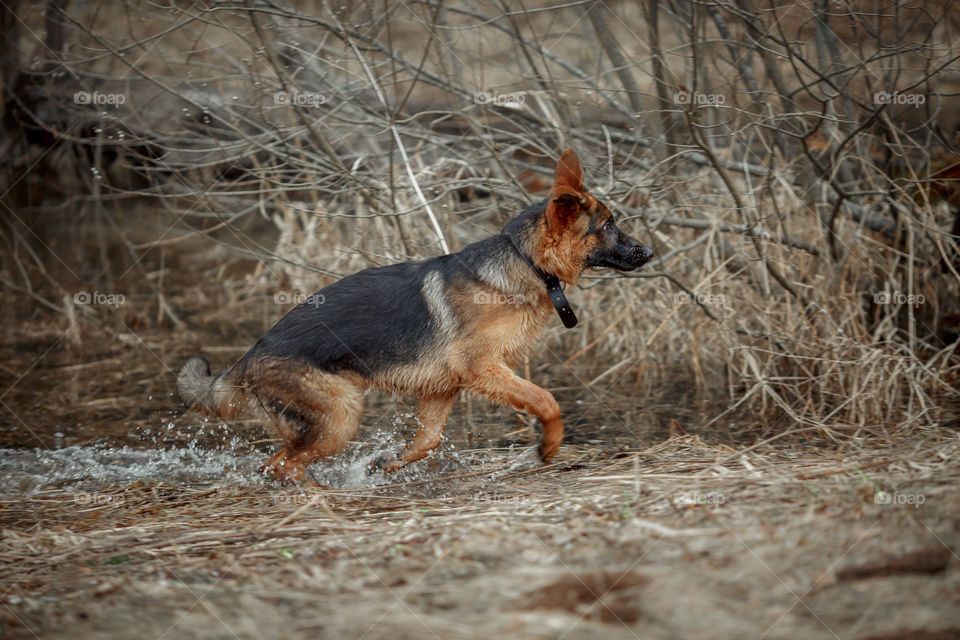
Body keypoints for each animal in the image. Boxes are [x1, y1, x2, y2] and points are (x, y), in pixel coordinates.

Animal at [175, 150, 652, 484]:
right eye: (608, 226)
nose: (649, 252)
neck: (526, 262)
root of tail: (247, 357)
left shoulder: (444, 387)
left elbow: (427, 440)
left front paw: (386, 463)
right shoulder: (483, 368)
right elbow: (547, 401)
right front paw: (549, 448)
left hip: (322, 422)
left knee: (277, 461)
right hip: (341, 417)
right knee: (281, 464)